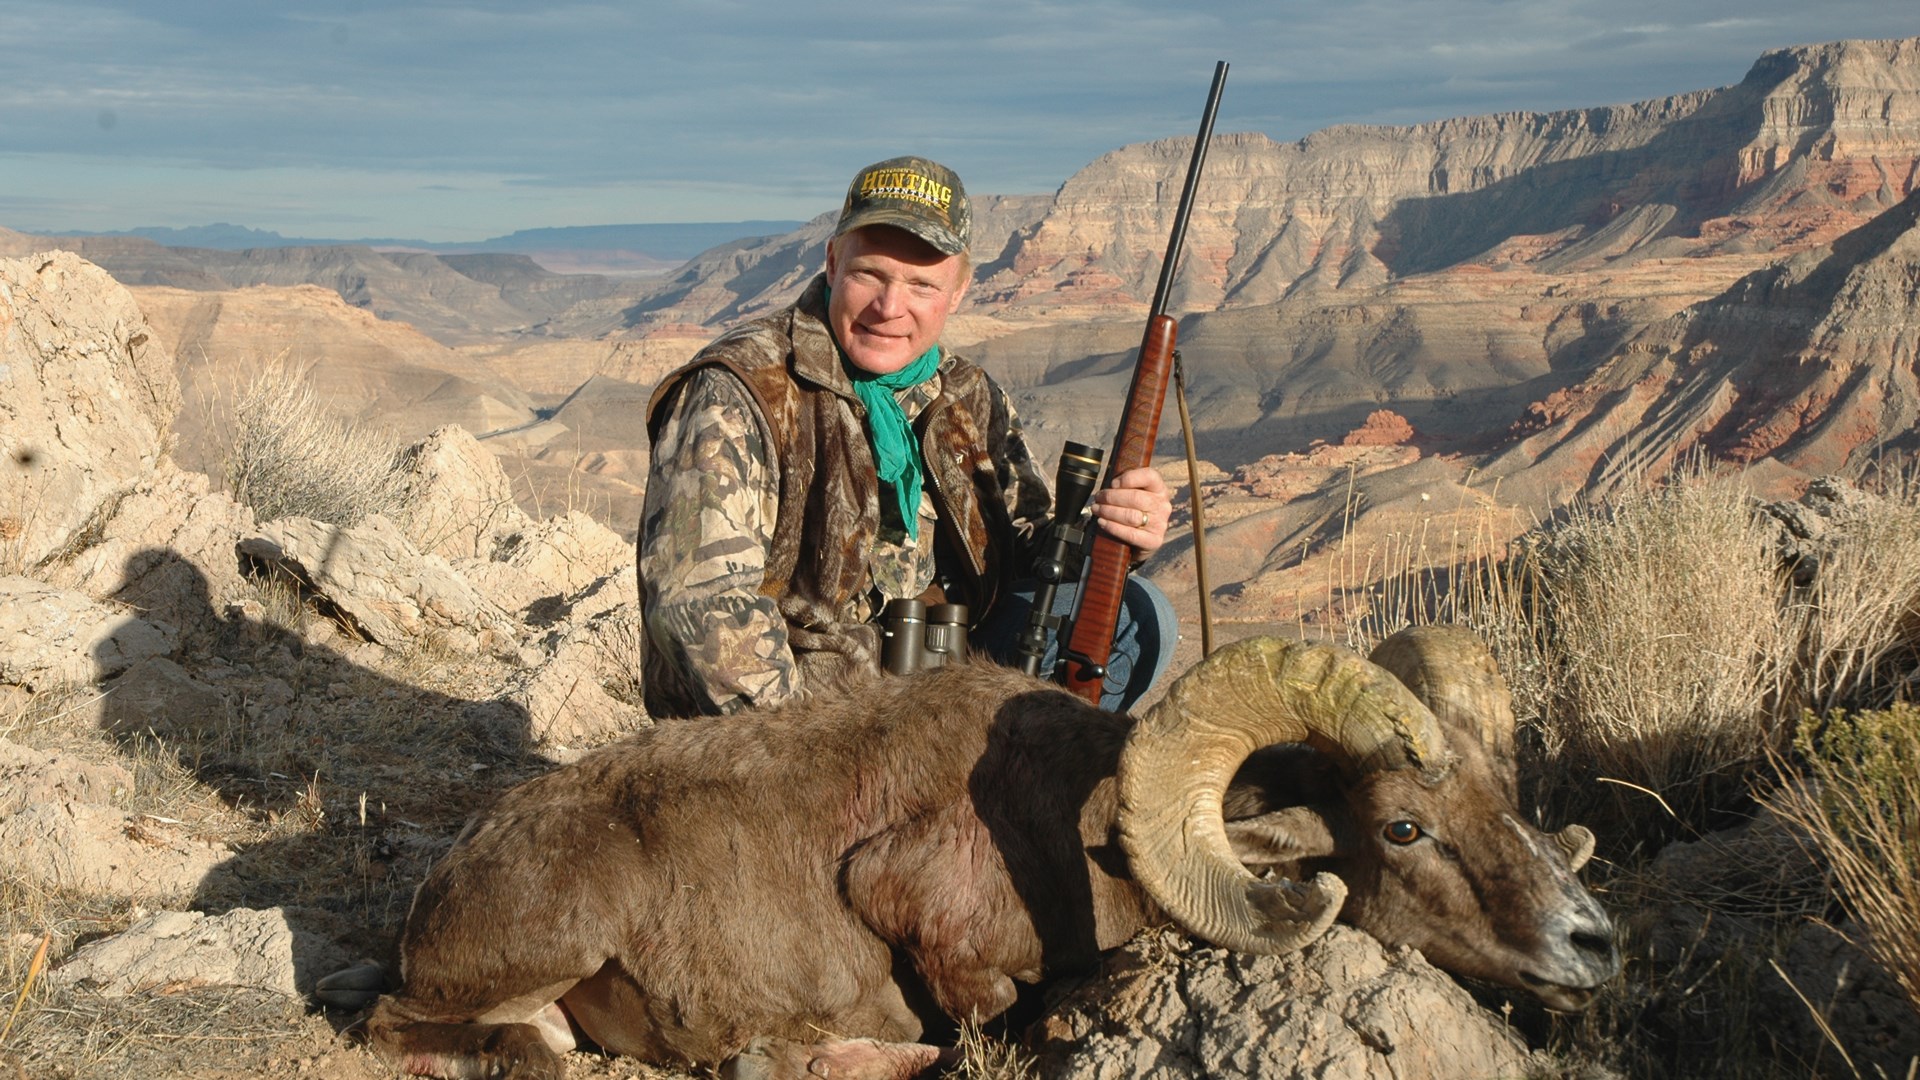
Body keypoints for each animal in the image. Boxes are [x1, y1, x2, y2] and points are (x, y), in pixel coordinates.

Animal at [353, 626, 1612, 1068]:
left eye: (1506, 801)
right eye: (1404, 827)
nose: (1591, 944)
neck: (1087, 842)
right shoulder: (924, 921)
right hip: (537, 953)